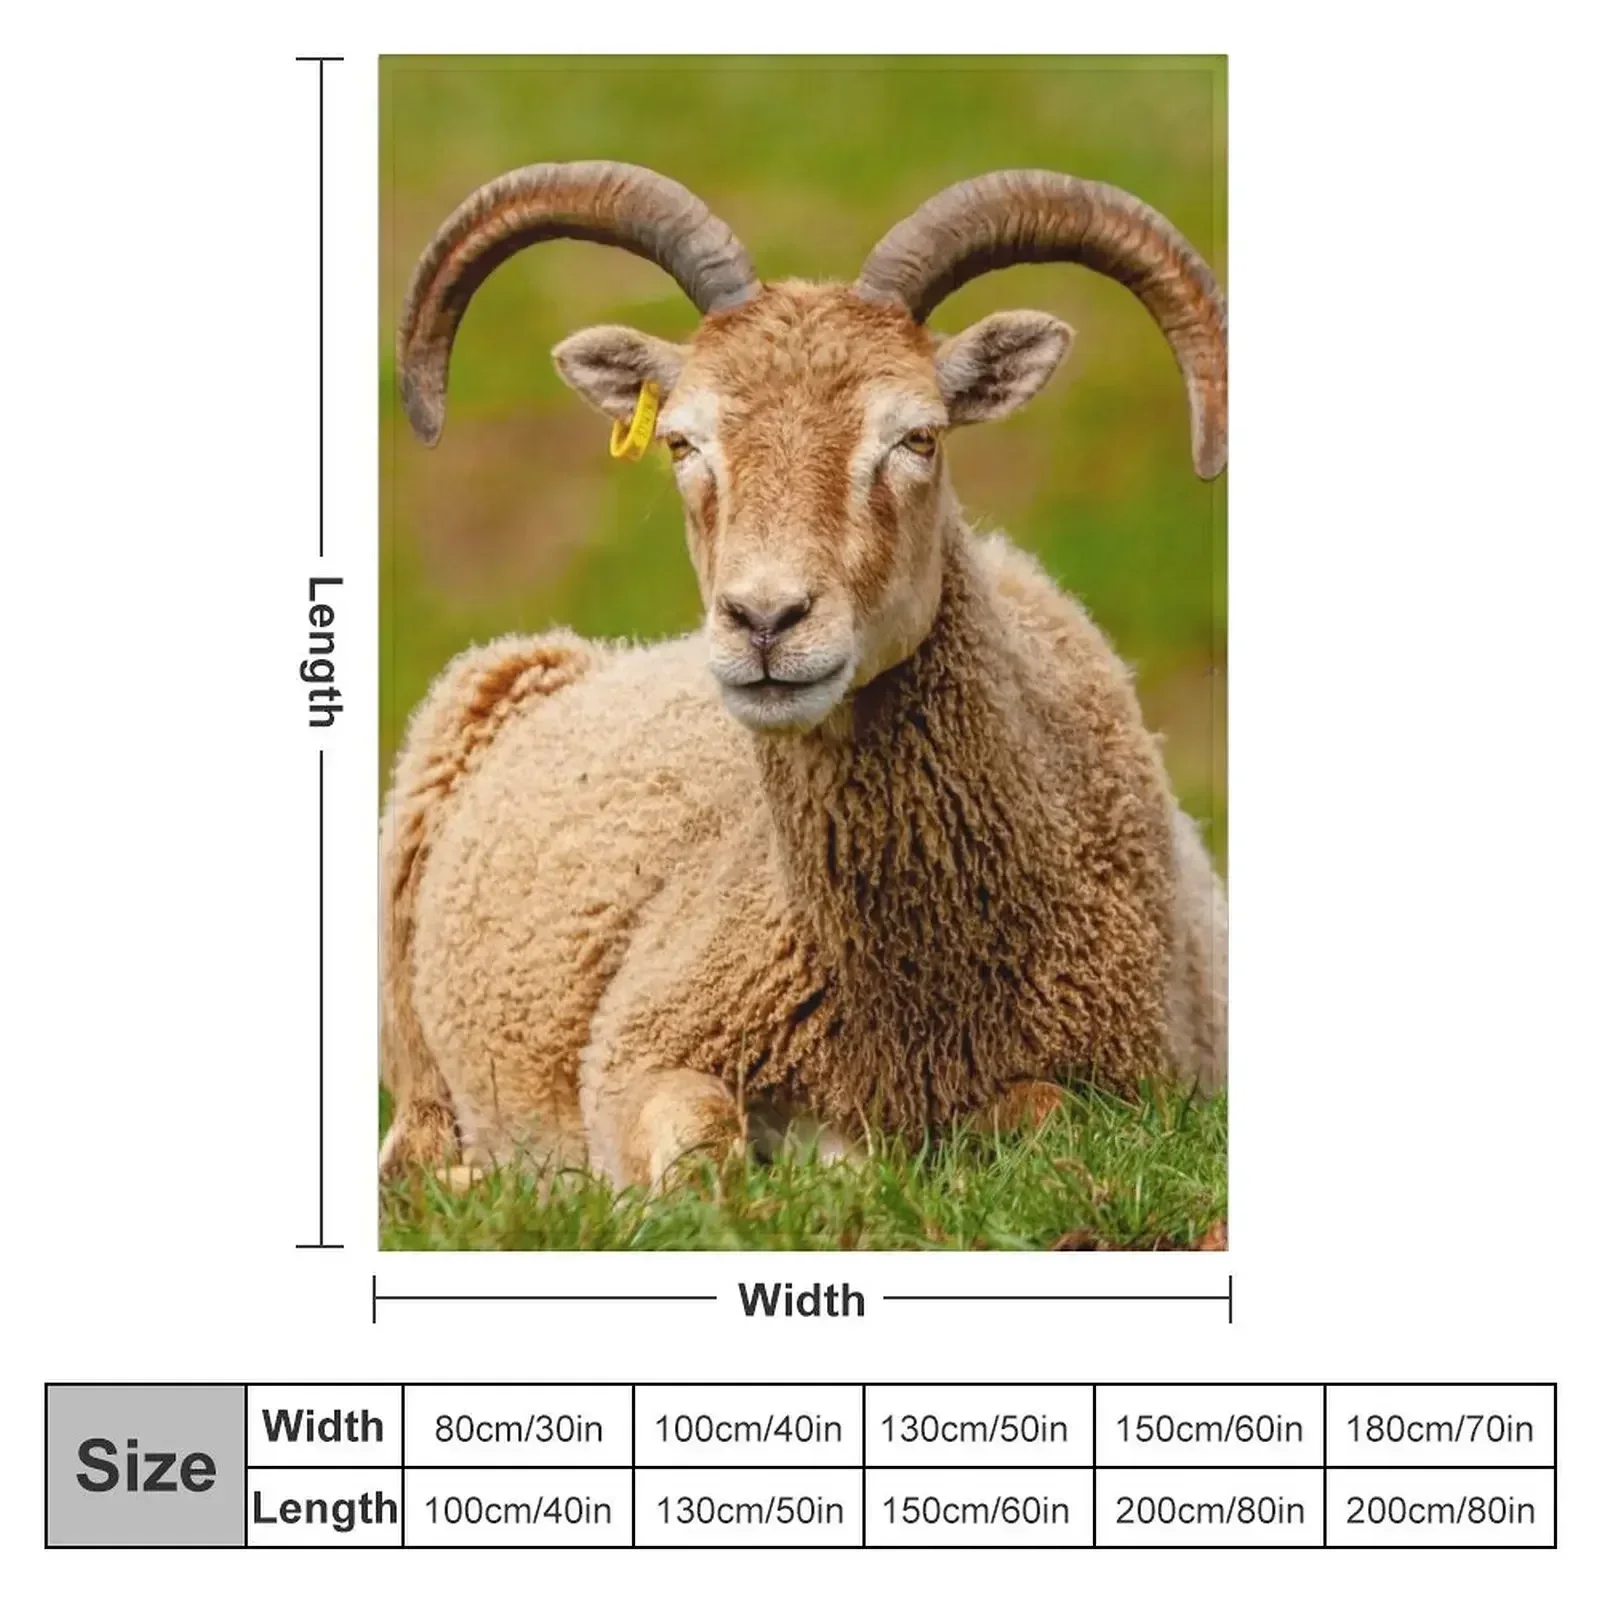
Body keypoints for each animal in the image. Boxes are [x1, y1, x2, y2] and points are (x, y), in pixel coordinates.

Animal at [381, 161, 1227, 1189]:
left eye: (919, 437)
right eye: (682, 442)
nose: (765, 620)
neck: (911, 1005)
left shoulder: (1126, 1083)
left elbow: (1042, 1116)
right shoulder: (638, 1048)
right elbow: (694, 1141)